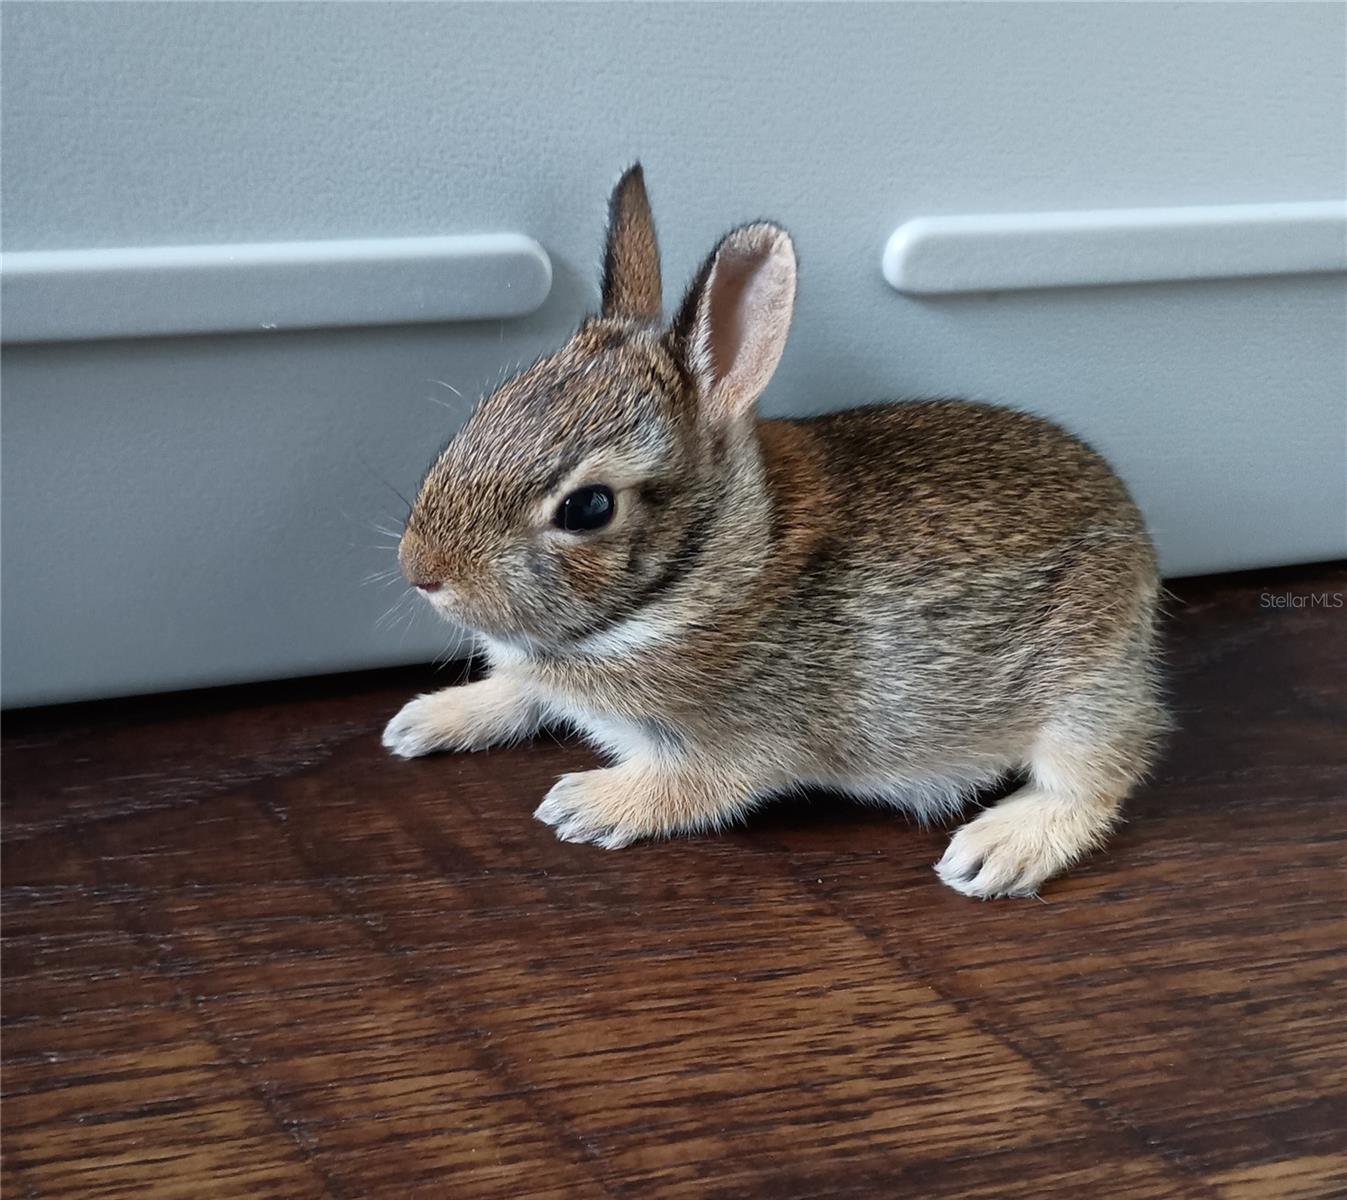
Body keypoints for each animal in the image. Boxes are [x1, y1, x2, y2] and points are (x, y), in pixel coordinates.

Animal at [383, 164, 1165, 898]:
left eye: (588, 509)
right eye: (490, 408)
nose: (422, 572)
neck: (706, 567)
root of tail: (1136, 536)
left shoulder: (743, 741)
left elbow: (693, 786)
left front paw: (583, 804)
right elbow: (516, 689)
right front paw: (422, 721)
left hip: (1080, 691)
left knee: (1099, 773)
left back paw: (998, 850)